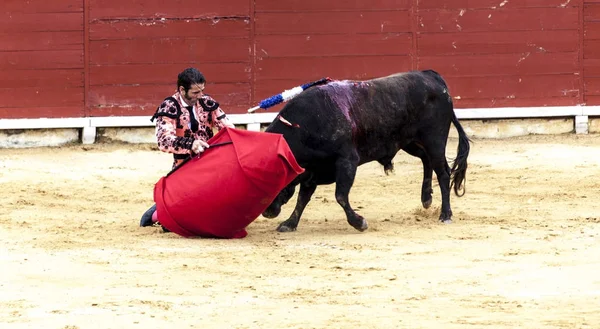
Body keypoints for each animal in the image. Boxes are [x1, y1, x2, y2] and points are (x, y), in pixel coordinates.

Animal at [260, 70, 472, 232]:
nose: (267, 212)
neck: (306, 126)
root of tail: (431, 75)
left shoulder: (347, 161)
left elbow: (340, 195)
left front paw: (359, 222)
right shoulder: (313, 170)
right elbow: (303, 198)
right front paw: (289, 224)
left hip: (435, 140)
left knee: (443, 173)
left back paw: (445, 214)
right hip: (409, 142)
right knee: (426, 161)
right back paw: (426, 198)